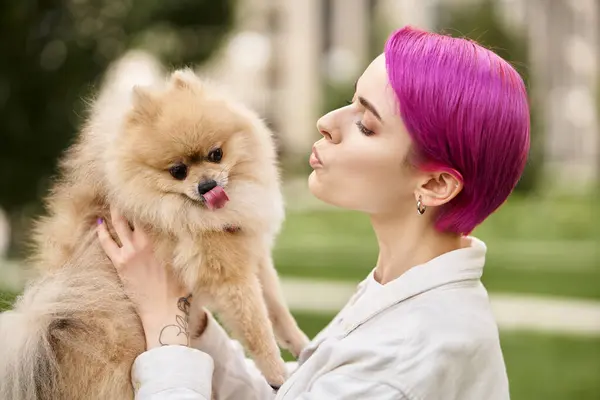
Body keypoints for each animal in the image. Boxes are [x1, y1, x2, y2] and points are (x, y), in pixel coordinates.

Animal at [0, 56, 308, 400]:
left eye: (216, 154)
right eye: (178, 171)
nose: (207, 185)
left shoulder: (251, 251)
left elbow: (277, 308)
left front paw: (300, 345)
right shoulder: (229, 276)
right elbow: (257, 327)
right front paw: (278, 374)